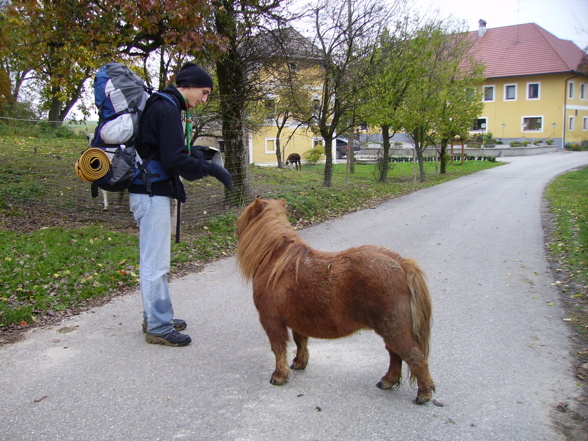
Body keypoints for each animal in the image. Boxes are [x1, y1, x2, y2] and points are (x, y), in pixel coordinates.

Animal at [235, 198, 436, 404]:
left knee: (413, 356)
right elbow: (300, 342)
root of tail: (402, 264)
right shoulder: (297, 320)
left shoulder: (271, 321)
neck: (276, 261)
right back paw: (388, 381)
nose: (236, 228)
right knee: (395, 354)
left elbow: (278, 348)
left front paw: (279, 376)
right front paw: (299, 362)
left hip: (394, 329)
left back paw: (424, 393)